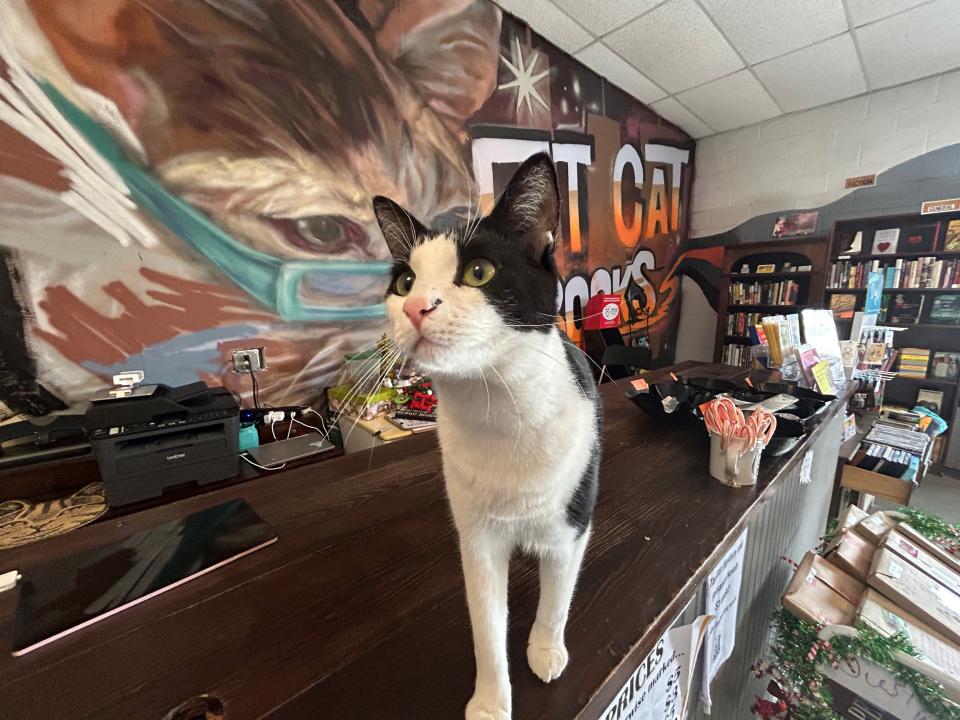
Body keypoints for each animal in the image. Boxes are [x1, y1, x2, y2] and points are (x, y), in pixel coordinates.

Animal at [374, 155, 600, 716]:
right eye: (405, 281)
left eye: (479, 272)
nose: (415, 307)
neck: (502, 410)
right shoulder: (475, 538)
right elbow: (486, 625)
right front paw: (491, 701)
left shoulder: (571, 524)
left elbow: (557, 597)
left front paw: (545, 649)